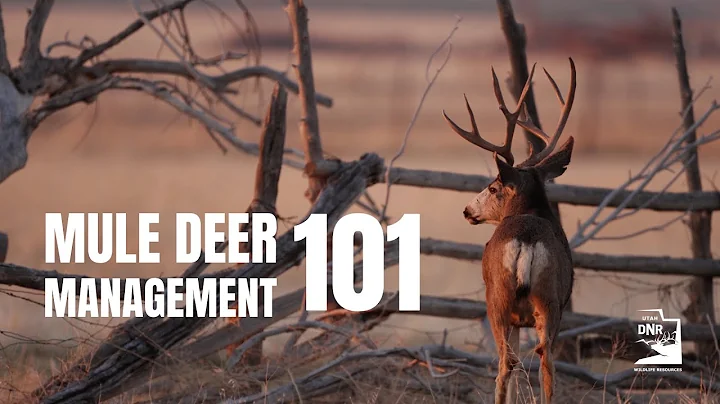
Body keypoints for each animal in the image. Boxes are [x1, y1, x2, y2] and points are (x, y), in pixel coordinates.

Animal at [442, 58, 577, 404]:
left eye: (493, 187)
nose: (467, 210)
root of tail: (526, 242)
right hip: (550, 303)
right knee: (545, 361)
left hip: (498, 301)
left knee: (507, 364)